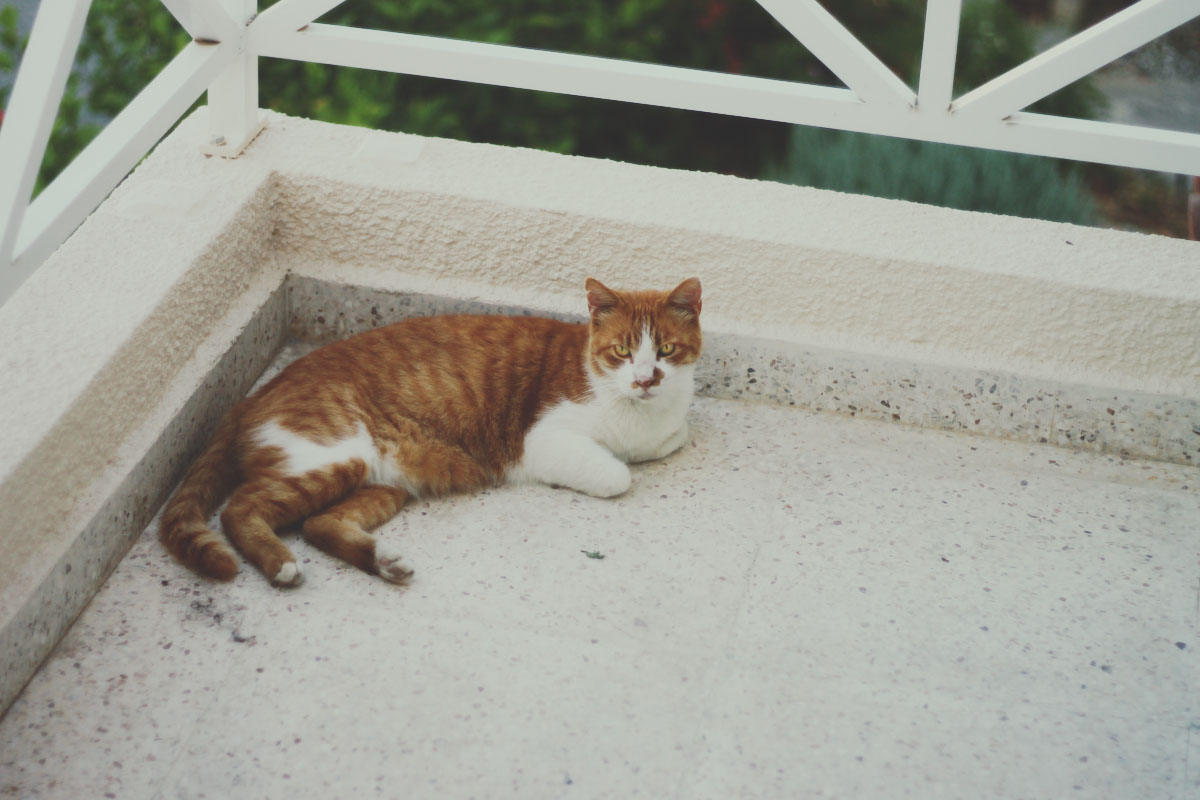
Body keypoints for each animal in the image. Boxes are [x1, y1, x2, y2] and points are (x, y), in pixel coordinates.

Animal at [159, 278, 700, 585]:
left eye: (666, 350)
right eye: (623, 351)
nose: (645, 378)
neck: (640, 413)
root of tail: (248, 400)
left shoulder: (669, 433)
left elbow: (670, 440)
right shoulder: (541, 441)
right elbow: (617, 475)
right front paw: (618, 465)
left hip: (380, 483)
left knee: (317, 524)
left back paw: (384, 562)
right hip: (334, 455)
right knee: (240, 509)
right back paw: (280, 566)